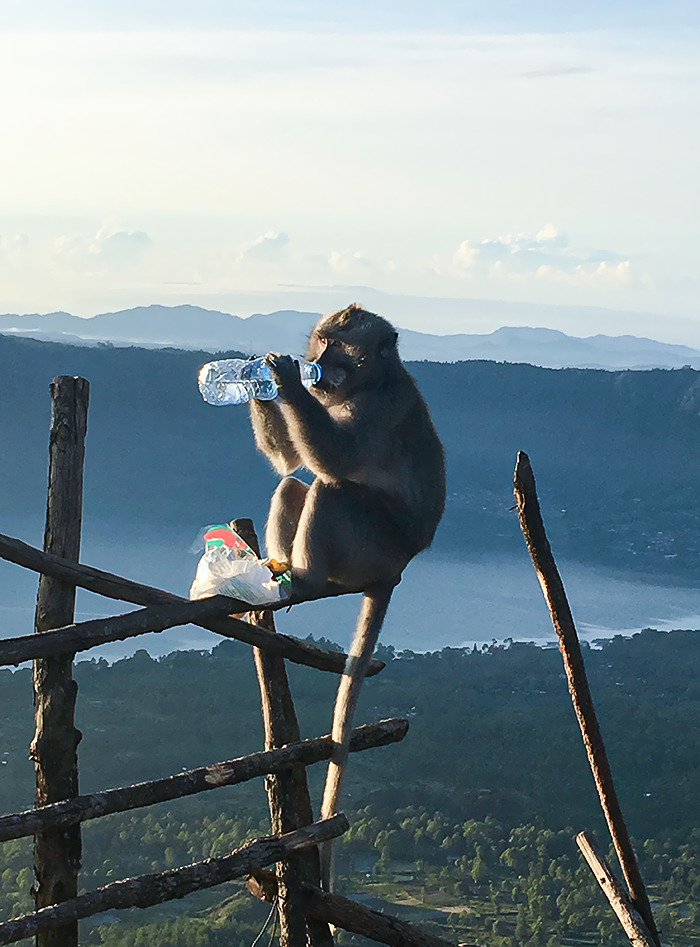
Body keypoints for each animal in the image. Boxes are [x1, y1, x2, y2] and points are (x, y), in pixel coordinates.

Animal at [249, 304, 445, 887]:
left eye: (337, 344)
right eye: (321, 339)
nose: (315, 361)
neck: (368, 380)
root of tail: (399, 567)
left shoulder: (378, 407)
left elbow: (338, 458)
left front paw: (284, 379)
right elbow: (289, 460)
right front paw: (259, 385)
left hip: (372, 545)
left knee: (331, 489)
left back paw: (307, 579)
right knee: (294, 484)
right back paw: (280, 572)